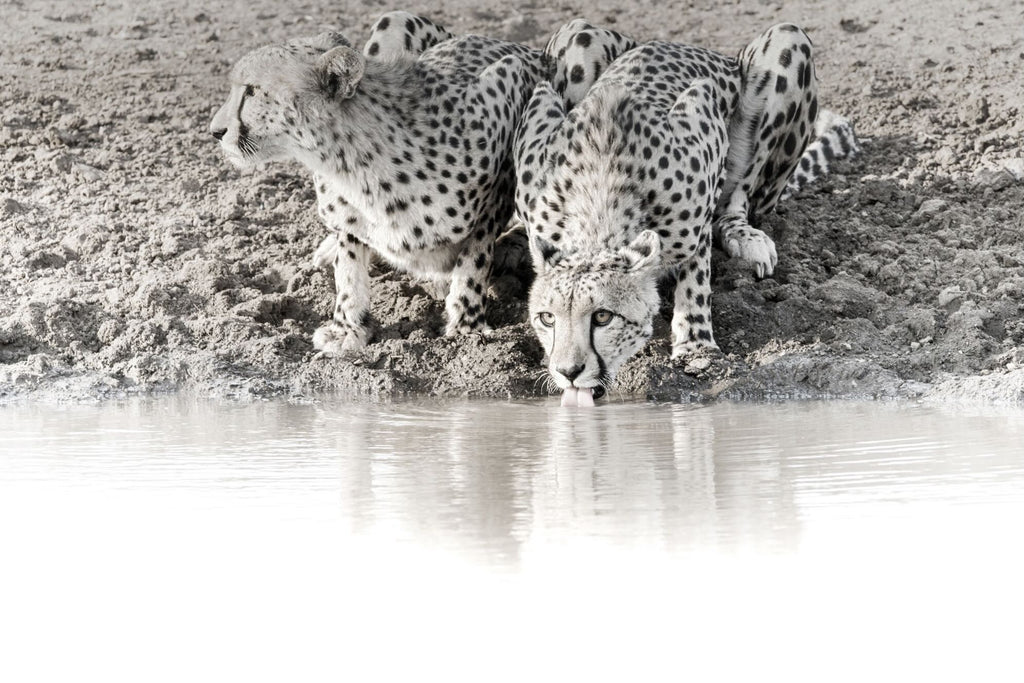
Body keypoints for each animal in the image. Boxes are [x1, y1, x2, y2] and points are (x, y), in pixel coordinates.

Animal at [209, 11, 551, 353]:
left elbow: (475, 255)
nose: (215, 131)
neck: (350, 161)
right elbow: (348, 265)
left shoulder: (512, 84)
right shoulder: (349, 216)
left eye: (252, 90)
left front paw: (467, 326)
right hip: (394, 17)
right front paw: (346, 326)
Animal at [515, 21, 859, 406]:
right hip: (578, 33)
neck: (600, 207)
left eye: (602, 317)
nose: (568, 371)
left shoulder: (705, 120)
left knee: (741, 195)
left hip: (788, 42)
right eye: (547, 318)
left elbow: (696, 271)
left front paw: (696, 345)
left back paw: (745, 236)